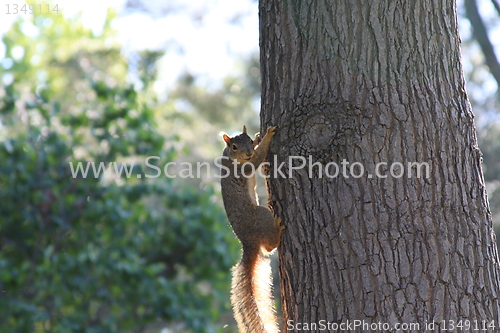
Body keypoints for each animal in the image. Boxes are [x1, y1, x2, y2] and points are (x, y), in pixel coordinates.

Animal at [220, 125, 284, 332]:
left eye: (247, 140)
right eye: (234, 146)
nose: (248, 151)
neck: (231, 157)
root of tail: (248, 243)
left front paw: (258, 138)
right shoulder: (244, 167)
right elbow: (257, 159)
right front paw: (267, 136)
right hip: (262, 215)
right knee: (270, 247)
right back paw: (278, 229)